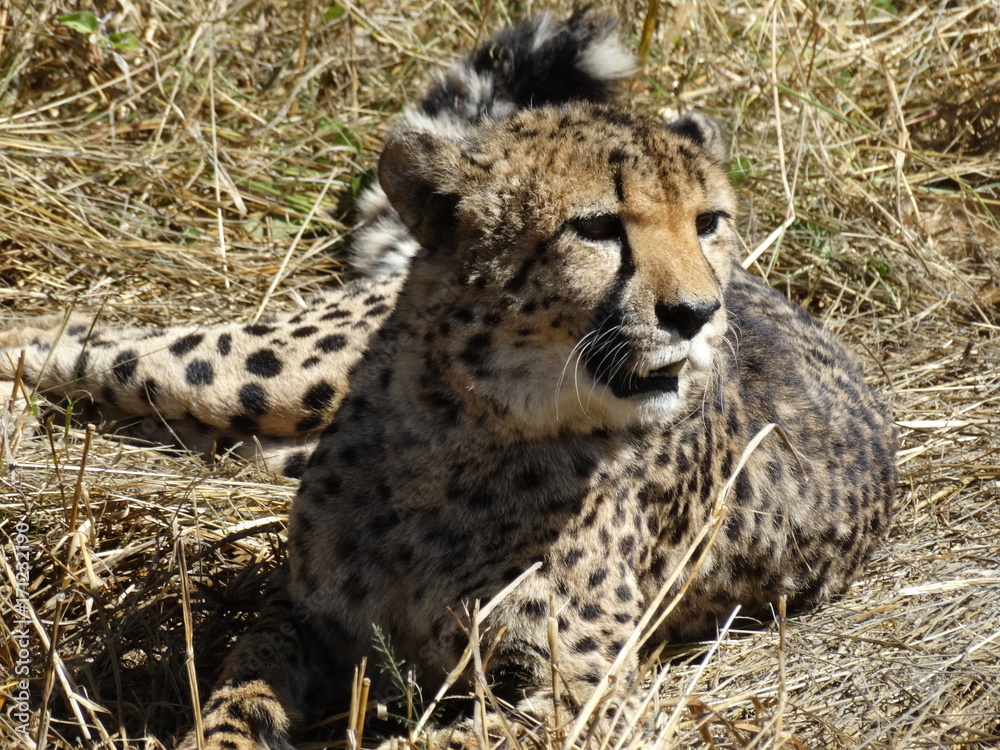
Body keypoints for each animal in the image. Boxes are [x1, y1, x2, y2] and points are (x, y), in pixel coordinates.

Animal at [0, 10, 897, 750]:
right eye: (597, 228)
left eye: (709, 221)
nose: (698, 313)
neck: (474, 426)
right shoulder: (305, 612)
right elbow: (238, 689)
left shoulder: (582, 696)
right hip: (262, 370)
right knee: (86, 343)